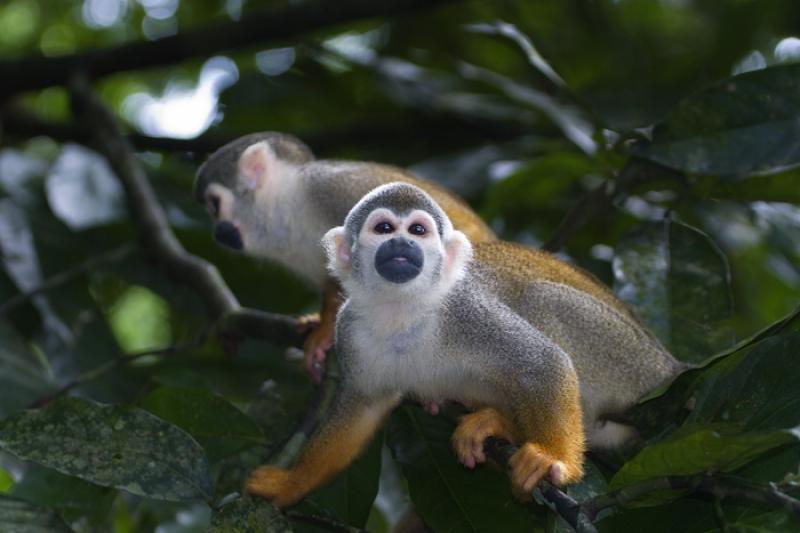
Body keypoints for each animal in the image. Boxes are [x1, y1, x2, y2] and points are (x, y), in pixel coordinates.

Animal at [247, 183, 584, 508]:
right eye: (384, 228)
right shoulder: (350, 329)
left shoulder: (466, 310)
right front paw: (292, 484)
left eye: (418, 230)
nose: (401, 243)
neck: (402, 310)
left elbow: (543, 362)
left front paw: (553, 459)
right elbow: (362, 407)